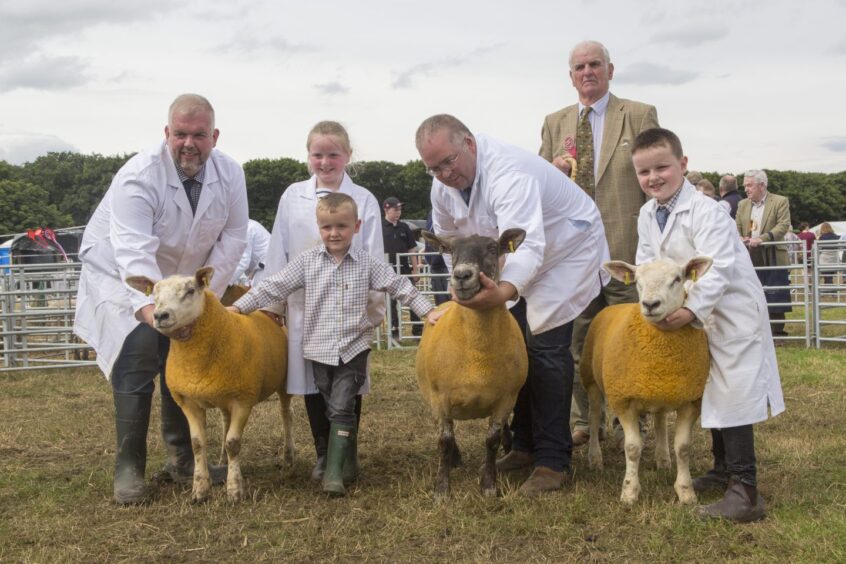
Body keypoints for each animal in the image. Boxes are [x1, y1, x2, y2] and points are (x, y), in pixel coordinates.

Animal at [124, 266, 294, 504]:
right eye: (154, 294)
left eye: (190, 291)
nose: (159, 316)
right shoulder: (188, 402)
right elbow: (197, 444)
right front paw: (200, 489)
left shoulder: (244, 398)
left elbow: (233, 443)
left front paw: (234, 490)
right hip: (224, 394)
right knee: (225, 421)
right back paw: (223, 460)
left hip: (284, 383)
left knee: (286, 415)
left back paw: (288, 457)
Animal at [418, 227, 528, 496]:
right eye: (451, 250)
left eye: (492, 248)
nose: (461, 276)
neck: (477, 355)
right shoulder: (440, 398)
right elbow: (444, 441)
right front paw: (442, 489)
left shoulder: (506, 398)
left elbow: (492, 440)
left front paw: (489, 485)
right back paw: (454, 459)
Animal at [580, 258, 712, 504]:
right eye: (638, 281)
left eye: (677, 279)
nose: (650, 304)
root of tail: (610, 308)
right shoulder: (623, 400)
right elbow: (632, 448)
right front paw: (629, 492)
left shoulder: (691, 400)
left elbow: (683, 447)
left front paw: (685, 491)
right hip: (591, 380)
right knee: (593, 419)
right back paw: (595, 458)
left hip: (661, 391)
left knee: (660, 421)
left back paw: (663, 459)